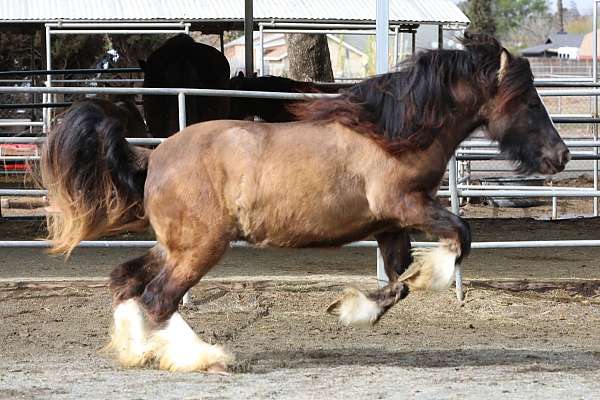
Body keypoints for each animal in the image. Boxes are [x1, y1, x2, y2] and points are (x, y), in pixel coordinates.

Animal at [41, 32, 568, 374]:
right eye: (528, 103)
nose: (559, 156)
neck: (390, 134)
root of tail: (152, 157)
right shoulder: (406, 206)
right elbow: (459, 236)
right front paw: (421, 276)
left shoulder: (389, 226)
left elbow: (397, 284)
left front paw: (355, 309)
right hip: (200, 248)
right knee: (158, 297)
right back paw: (205, 359)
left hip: (174, 245)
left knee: (126, 281)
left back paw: (137, 351)